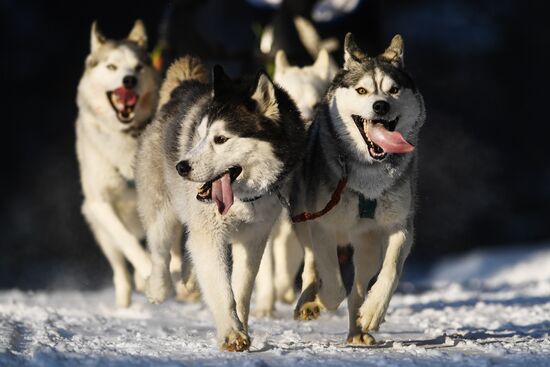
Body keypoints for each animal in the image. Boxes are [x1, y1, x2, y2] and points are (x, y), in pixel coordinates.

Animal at [74, 20, 160, 308]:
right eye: (112, 67)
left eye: (138, 67)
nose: (129, 80)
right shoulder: (99, 203)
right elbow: (128, 242)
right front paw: (147, 270)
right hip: (102, 233)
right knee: (121, 272)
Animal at [135, 56, 306, 352]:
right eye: (201, 135)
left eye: (221, 139)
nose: (182, 166)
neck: (242, 198)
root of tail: (182, 88)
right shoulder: (210, 234)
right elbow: (222, 290)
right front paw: (231, 334)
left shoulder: (253, 239)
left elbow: (242, 290)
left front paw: (242, 327)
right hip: (162, 212)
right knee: (160, 251)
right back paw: (158, 288)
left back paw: (191, 277)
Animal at [294, 33, 426, 346]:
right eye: (362, 90)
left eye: (393, 90)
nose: (381, 106)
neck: (369, 173)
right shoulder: (322, 226)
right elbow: (331, 279)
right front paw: (323, 300)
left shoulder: (400, 227)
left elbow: (390, 273)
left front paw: (373, 312)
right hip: (302, 221)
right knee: (312, 264)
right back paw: (309, 301)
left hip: (367, 245)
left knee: (358, 287)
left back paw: (358, 328)